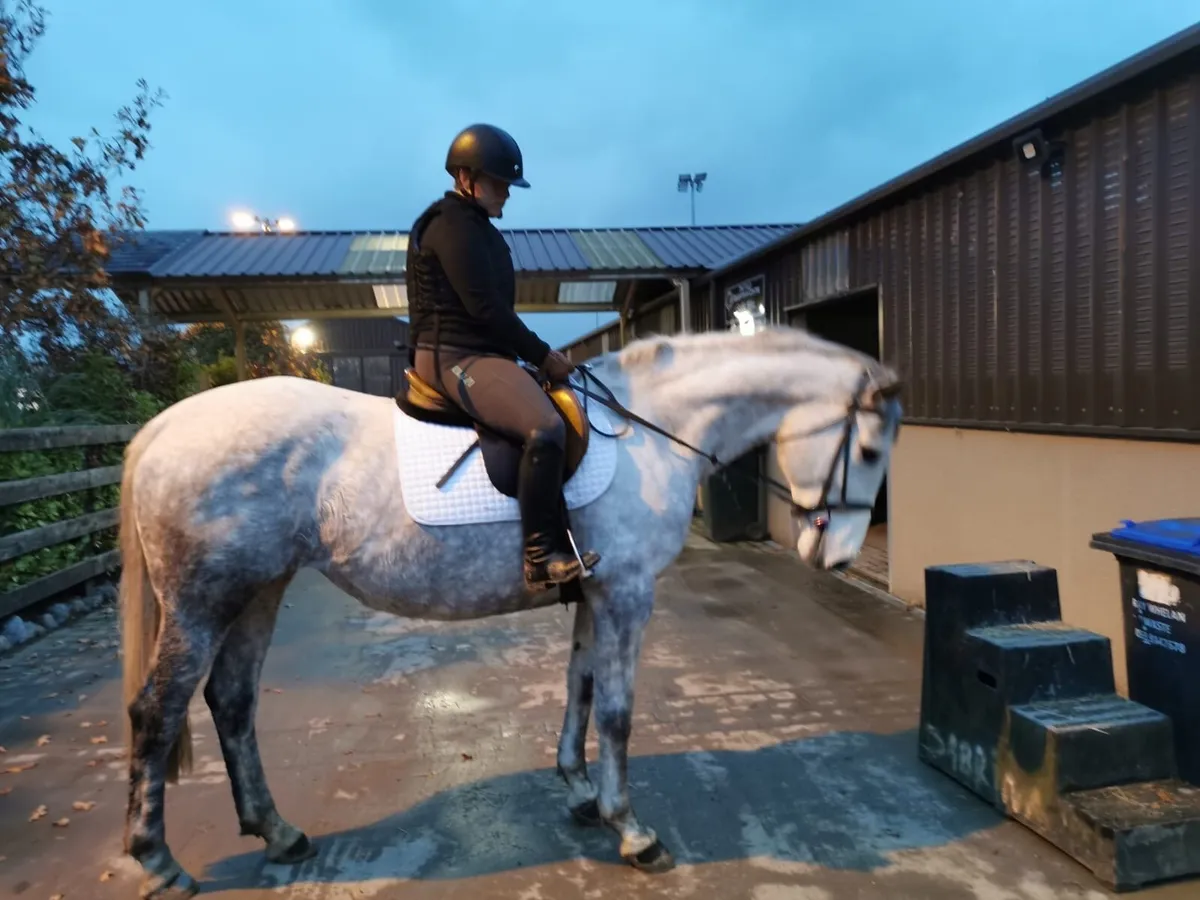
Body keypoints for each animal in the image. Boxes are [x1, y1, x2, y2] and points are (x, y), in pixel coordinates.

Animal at [118, 325, 902, 898]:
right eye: (867, 450)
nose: (836, 558)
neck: (652, 433)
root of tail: (161, 429)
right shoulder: (627, 594)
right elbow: (617, 710)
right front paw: (632, 830)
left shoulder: (594, 592)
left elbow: (579, 687)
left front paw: (581, 790)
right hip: (202, 602)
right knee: (157, 713)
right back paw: (157, 862)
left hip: (260, 590)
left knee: (232, 701)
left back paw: (277, 832)